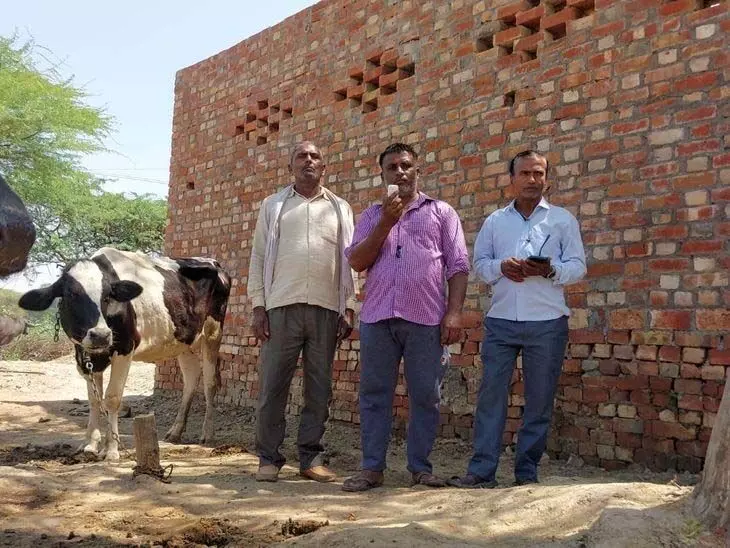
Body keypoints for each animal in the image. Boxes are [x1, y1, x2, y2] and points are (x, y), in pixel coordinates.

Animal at [17, 246, 230, 460]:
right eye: (71, 295)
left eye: (107, 296)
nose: (101, 335)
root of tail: (213, 262)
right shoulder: (84, 357)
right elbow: (94, 400)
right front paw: (90, 444)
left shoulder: (125, 349)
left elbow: (112, 398)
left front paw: (111, 449)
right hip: (184, 340)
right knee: (191, 379)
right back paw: (175, 431)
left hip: (213, 331)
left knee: (210, 382)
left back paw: (207, 433)